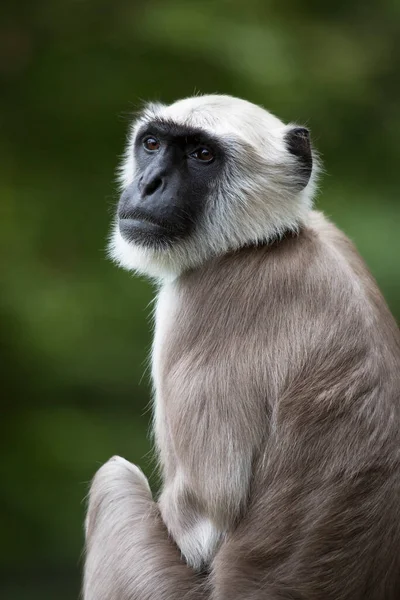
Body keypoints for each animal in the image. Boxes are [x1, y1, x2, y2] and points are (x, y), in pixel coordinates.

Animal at [82, 96, 400, 596]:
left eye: (202, 156)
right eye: (152, 144)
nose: (149, 184)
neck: (262, 243)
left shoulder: (199, 301)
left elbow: (206, 517)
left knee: (113, 477)